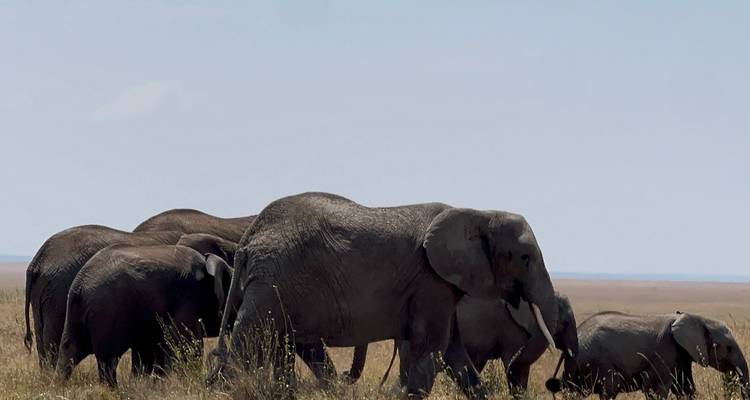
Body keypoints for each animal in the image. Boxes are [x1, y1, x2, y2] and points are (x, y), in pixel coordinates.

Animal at [55, 245, 233, 386]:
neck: (207, 261)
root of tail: (79, 286)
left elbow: (149, 351)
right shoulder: (187, 299)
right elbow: (186, 344)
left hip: (78, 313)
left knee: (70, 350)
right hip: (108, 313)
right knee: (108, 360)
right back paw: (113, 390)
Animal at [208, 192, 558, 399]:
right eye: (525, 258)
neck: (478, 213)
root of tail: (248, 240)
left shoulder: (440, 285)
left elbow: (453, 351)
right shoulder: (429, 279)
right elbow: (432, 348)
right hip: (273, 280)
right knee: (251, 340)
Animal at [546, 311, 750, 399]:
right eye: (728, 348)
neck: (697, 317)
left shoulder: (682, 355)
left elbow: (686, 389)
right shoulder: (665, 352)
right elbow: (656, 390)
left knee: (574, 393)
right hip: (596, 361)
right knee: (610, 387)